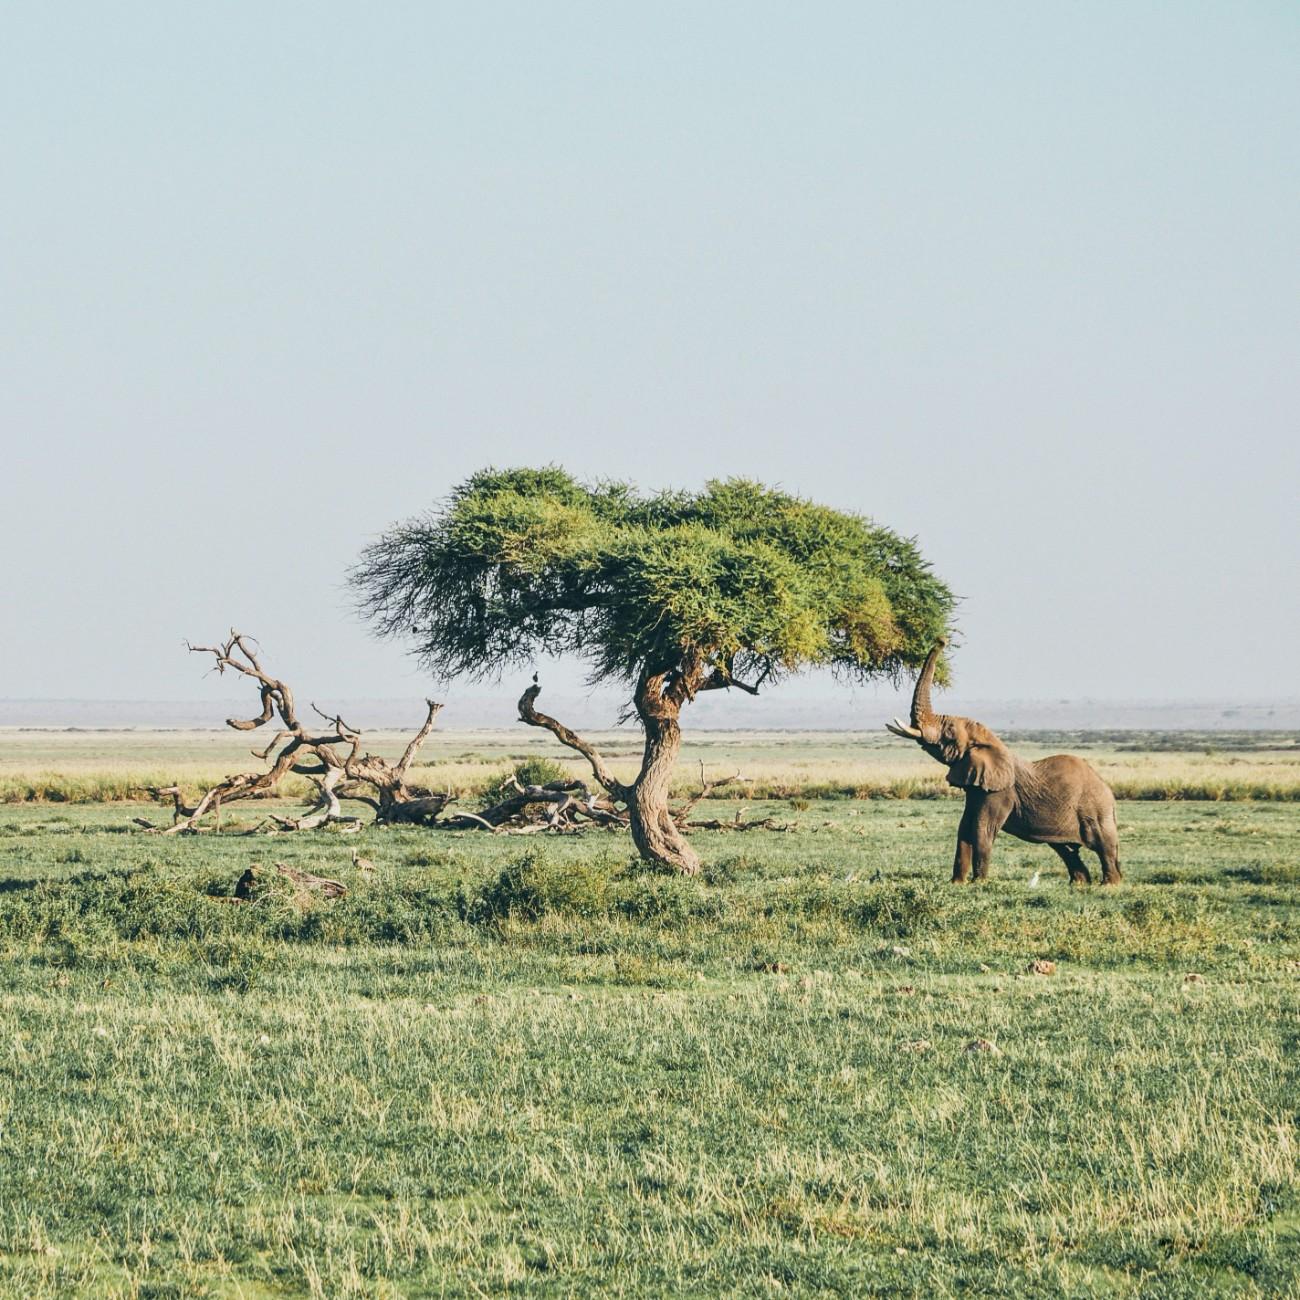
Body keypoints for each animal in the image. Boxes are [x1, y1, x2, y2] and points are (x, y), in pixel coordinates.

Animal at [889, 639, 1123, 883]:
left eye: (949, 733)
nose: (941, 640)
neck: (991, 742)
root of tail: (1108, 791)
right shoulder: (977, 786)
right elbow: (964, 827)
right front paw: (957, 884)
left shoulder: (1000, 791)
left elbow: (981, 829)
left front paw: (979, 883)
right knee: (1065, 849)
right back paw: (1079, 884)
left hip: (1095, 810)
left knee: (1104, 846)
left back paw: (1108, 885)